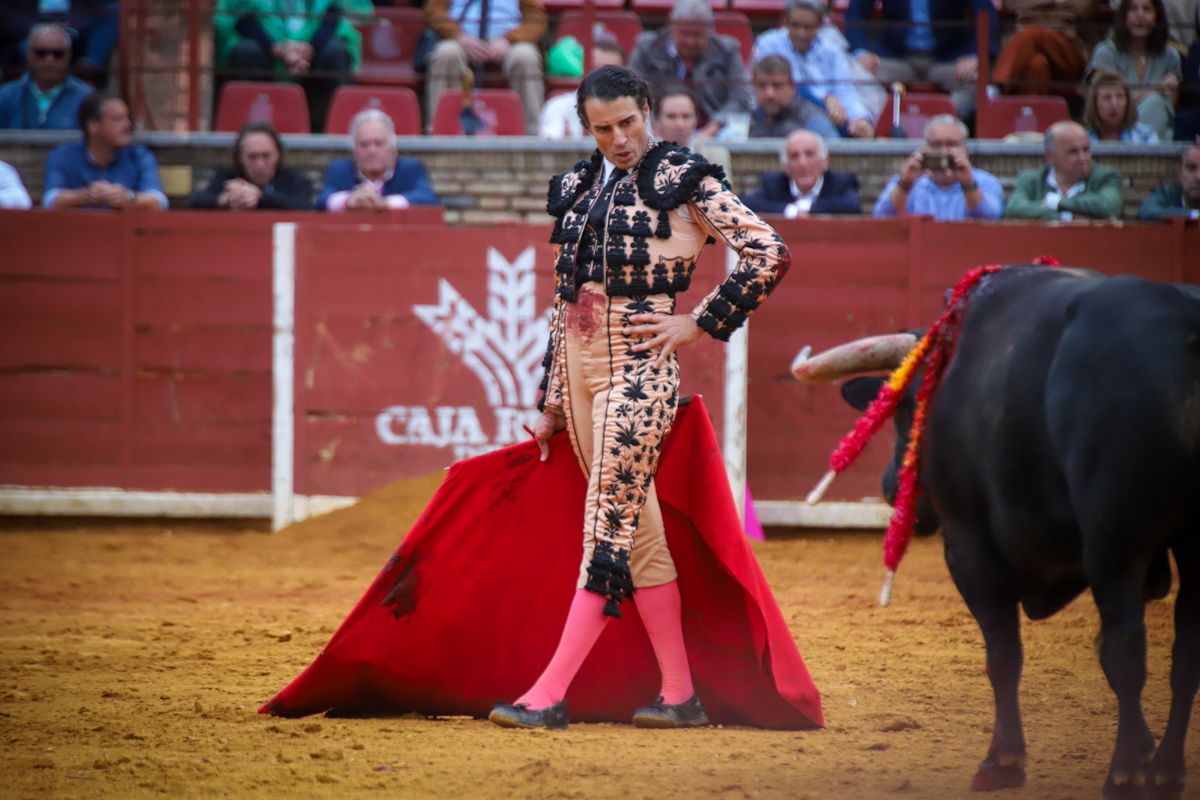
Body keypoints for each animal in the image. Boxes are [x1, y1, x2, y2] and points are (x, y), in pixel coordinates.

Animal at [796, 266, 1200, 796]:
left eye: (908, 408)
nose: (888, 485)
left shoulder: (969, 545)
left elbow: (1002, 652)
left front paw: (1002, 761)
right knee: (1185, 652)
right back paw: (1167, 771)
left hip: (1115, 542)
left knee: (1126, 648)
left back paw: (1126, 771)